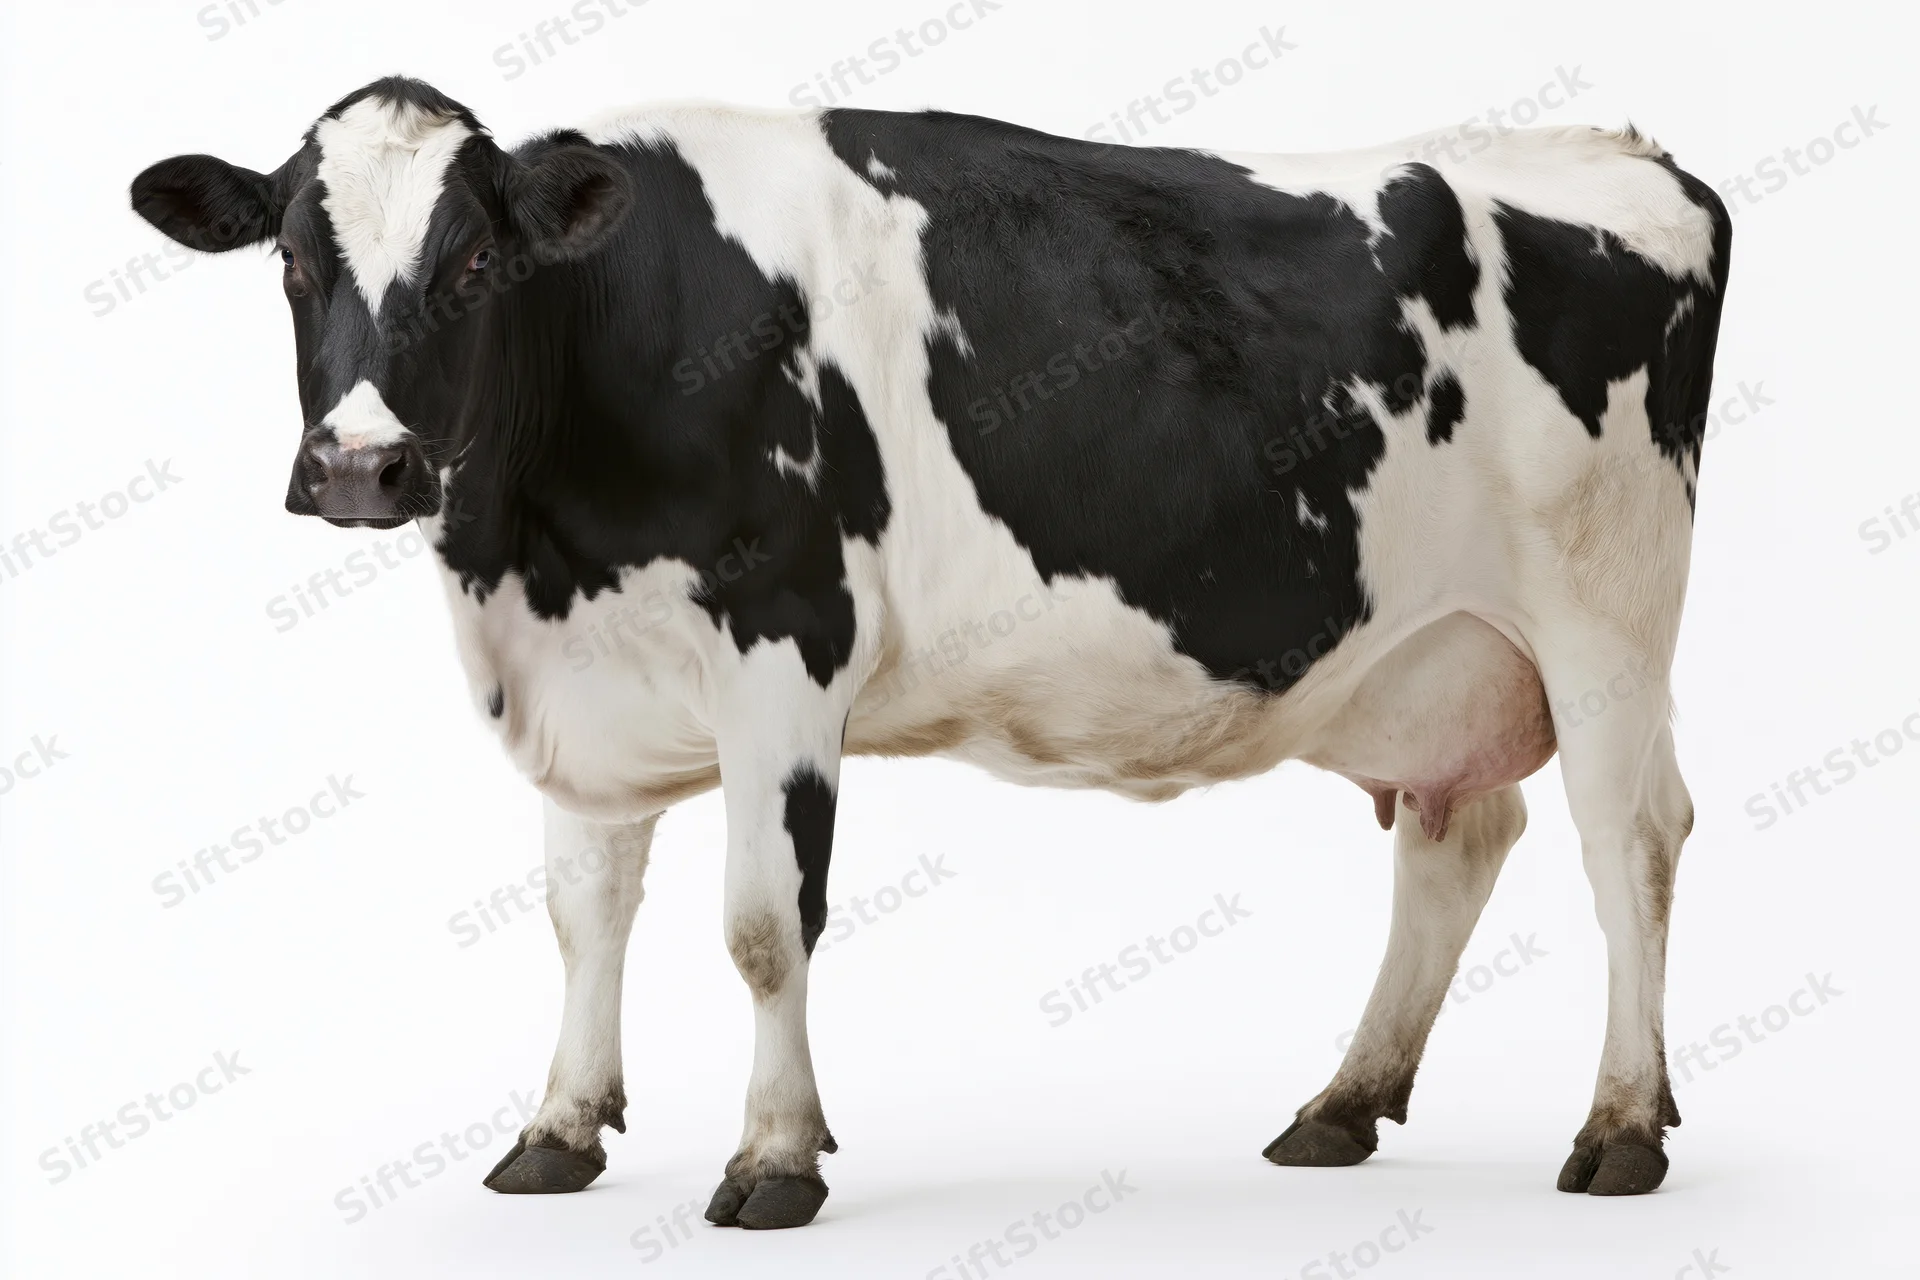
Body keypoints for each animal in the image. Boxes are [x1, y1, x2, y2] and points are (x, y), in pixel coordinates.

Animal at [131, 76, 1730, 1229]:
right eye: (292, 261)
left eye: (472, 260)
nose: (361, 466)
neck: (535, 550)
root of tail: (1632, 152)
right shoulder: (584, 688)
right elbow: (584, 916)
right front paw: (557, 1128)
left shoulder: (786, 647)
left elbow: (765, 923)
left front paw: (775, 1158)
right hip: (1436, 652)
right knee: (1463, 836)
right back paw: (1341, 1104)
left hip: (1605, 618)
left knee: (1631, 840)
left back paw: (1620, 1127)